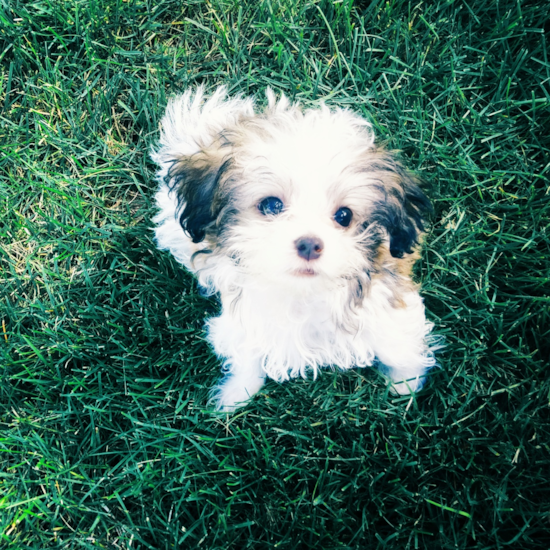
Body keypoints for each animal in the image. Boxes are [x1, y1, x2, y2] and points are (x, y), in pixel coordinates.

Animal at [152, 86, 440, 412]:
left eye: (344, 216)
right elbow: (247, 356)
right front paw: (237, 395)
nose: (309, 244)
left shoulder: (387, 303)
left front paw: (406, 384)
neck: (304, 294)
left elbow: (397, 344)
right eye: (271, 205)